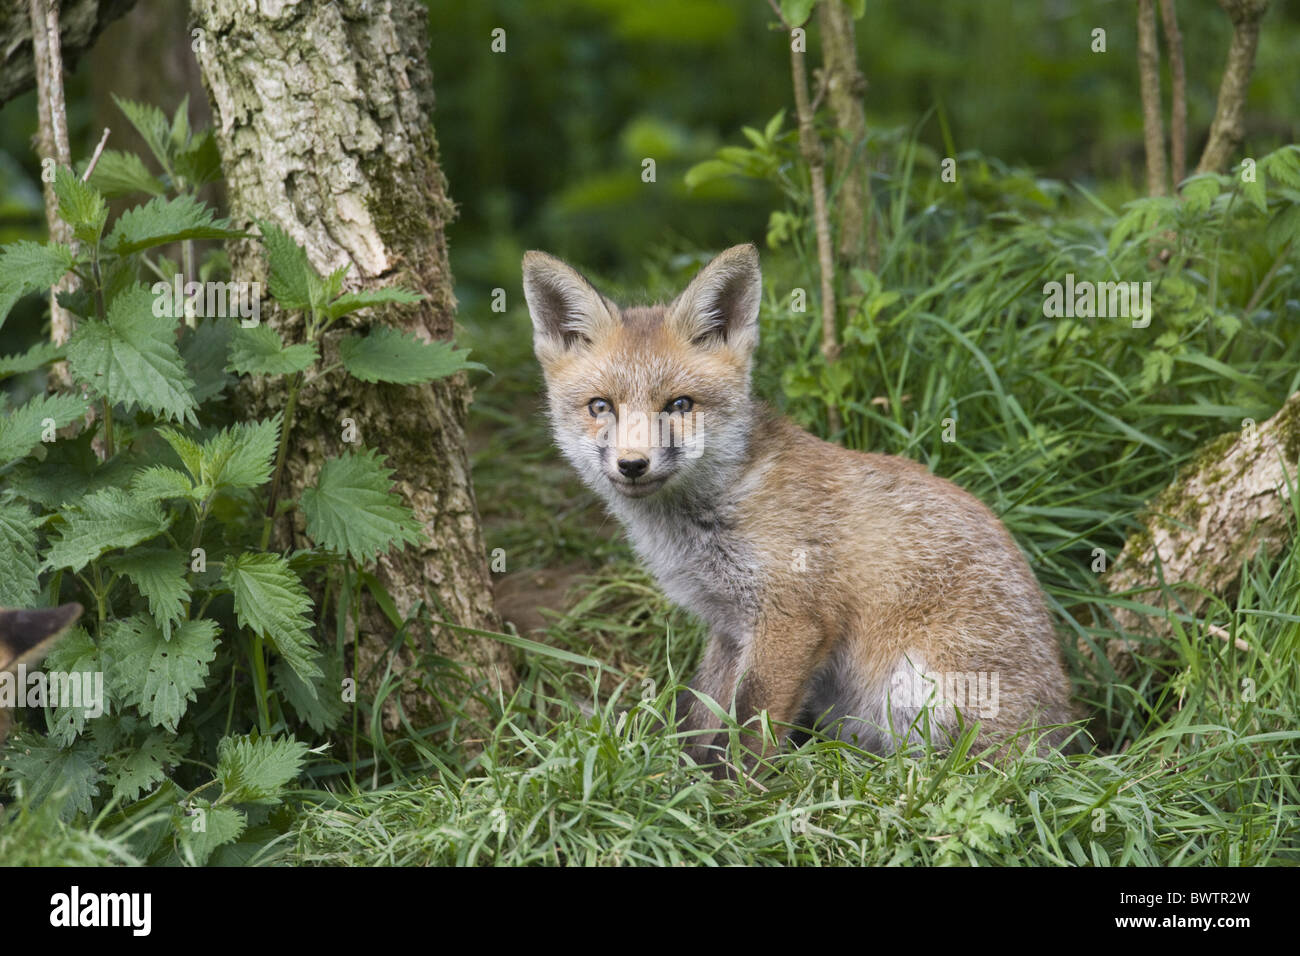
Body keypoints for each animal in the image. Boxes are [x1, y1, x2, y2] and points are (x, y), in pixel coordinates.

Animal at [522, 244, 1076, 775]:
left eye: (679, 405)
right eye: (601, 407)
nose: (633, 464)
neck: (715, 513)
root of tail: (1067, 732)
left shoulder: (794, 619)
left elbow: (750, 726)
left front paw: (733, 795)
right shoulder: (730, 625)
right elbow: (702, 713)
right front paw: (681, 778)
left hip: (918, 685)